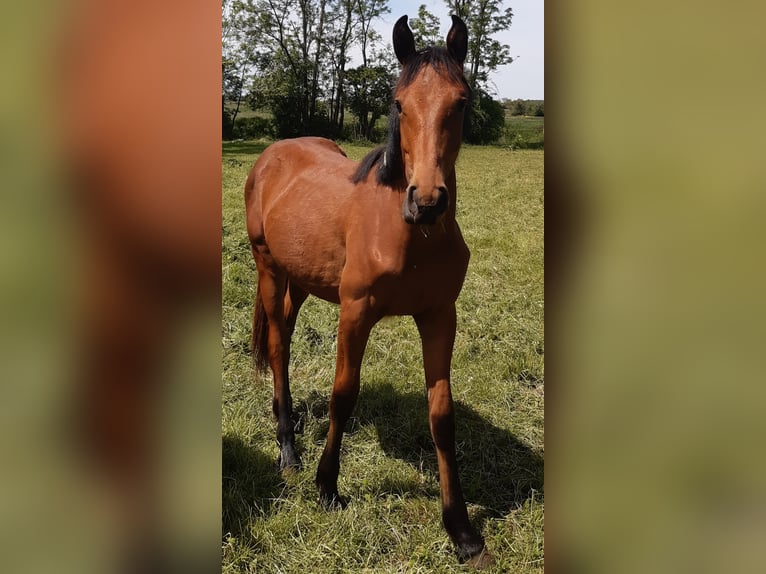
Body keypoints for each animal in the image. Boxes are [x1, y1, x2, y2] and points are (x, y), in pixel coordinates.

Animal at [245, 15, 491, 566]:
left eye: (462, 102)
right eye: (399, 103)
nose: (427, 201)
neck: (409, 237)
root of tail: (272, 154)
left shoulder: (440, 316)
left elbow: (441, 416)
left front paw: (461, 529)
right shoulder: (355, 313)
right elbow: (343, 395)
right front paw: (327, 486)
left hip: (302, 280)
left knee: (283, 333)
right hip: (269, 268)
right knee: (276, 343)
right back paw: (288, 449)